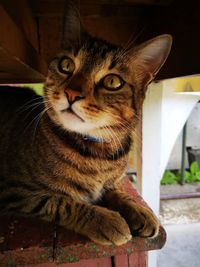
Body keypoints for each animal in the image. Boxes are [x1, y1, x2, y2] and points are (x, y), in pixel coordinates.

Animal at [0, 3, 172, 246]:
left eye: (112, 81)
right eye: (66, 65)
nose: (72, 94)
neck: (97, 153)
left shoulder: (110, 182)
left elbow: (116, 191)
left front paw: (139, 210)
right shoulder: (15, 190)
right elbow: (61, 201)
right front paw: (106, 220)